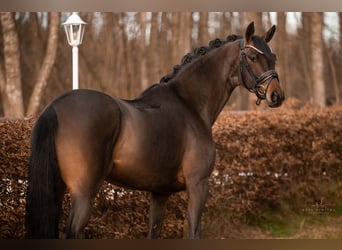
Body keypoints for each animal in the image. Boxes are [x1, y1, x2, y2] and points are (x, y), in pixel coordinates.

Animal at [26, 22, 284, 238]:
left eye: (273, 57)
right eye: (252, 56)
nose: (277, 96)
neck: (190, 105)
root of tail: (55, 106)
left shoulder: (160, 193)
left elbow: (154, 232)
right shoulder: (198, 185)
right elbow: (194, 233)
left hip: (58, 189)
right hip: (83, 193)